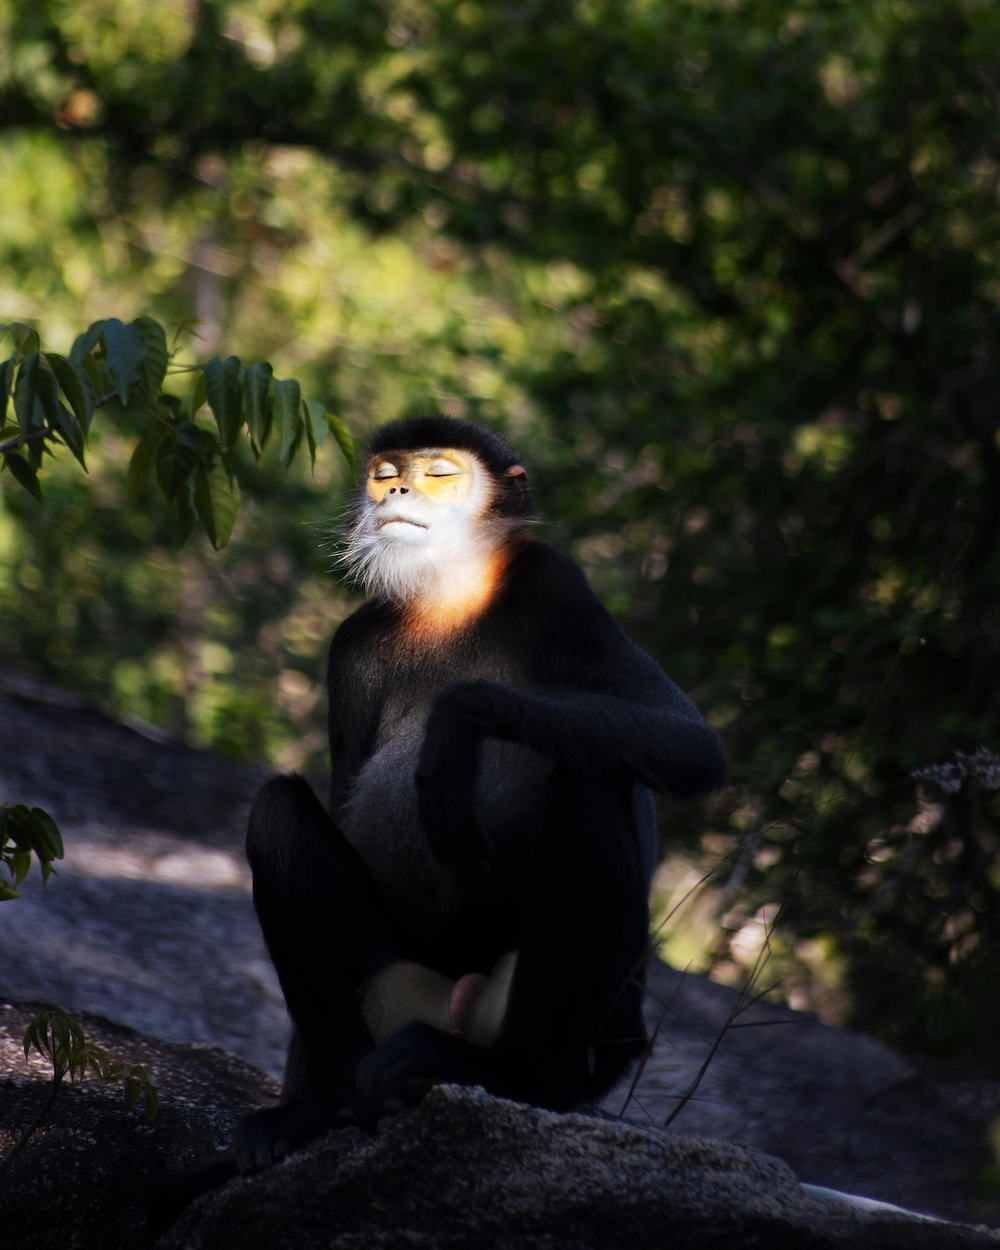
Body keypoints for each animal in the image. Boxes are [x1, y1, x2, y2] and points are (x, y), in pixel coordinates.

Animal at [152, 415, 725, 1215]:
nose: (393, 493)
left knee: (590, 771)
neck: (451, 594)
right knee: (275, 812)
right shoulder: (352, 646)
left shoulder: (556, 584)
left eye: (438, 474)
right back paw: (325, 1107)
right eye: (385, 472)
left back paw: (524, 1075)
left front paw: (457, 720)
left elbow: (690, 743)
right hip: (398, 989)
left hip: (566, 1018)